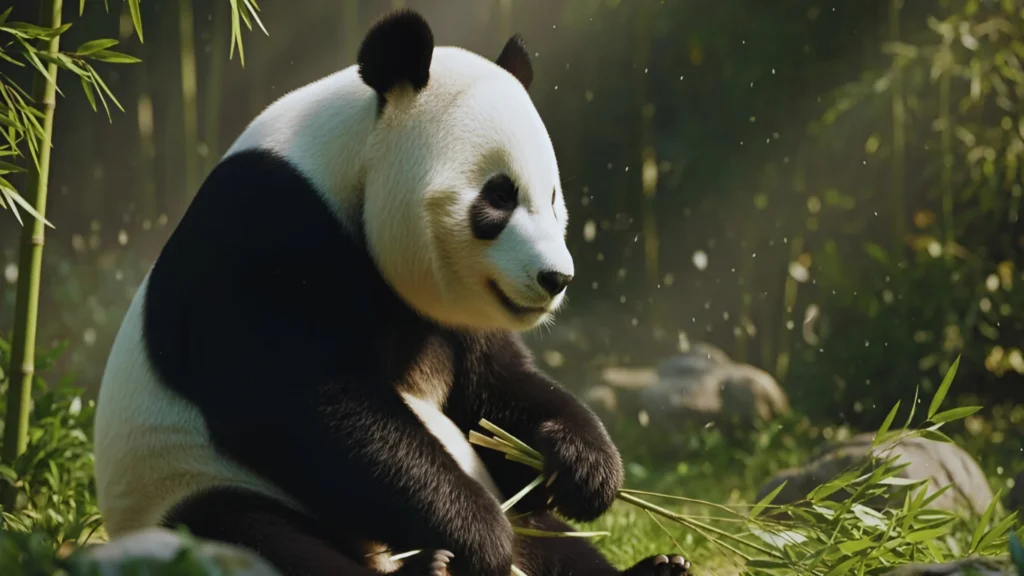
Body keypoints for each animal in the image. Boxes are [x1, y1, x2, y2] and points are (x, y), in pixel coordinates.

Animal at [93, 10, 692, 576]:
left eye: (550, 197)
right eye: (498, 196)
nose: (555, 278)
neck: (344, 162)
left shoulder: (453, 312)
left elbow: (491, 393)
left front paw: (582, 466)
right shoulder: (264, 228)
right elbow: (308, 402)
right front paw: (477, 535)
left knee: (550, 538)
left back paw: (657, 566)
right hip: (189, 489)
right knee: (258, 537)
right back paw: (434, 563)